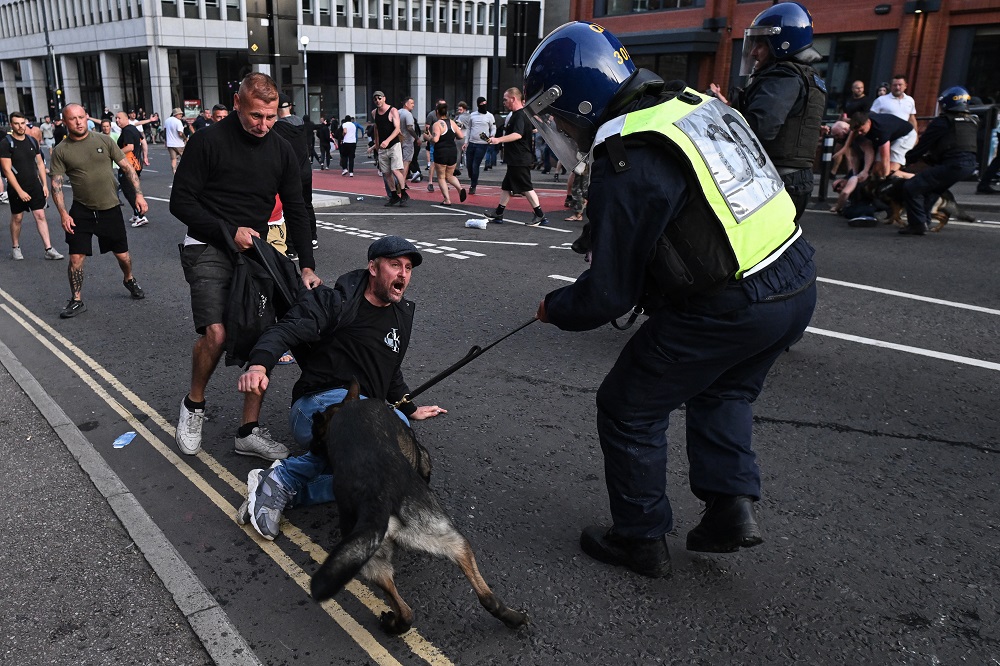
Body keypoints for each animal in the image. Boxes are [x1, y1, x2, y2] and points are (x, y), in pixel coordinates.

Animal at [306, 378, 528, 632]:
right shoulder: (419, 453)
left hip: (376, 559)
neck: (345, 408)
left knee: (412, 612)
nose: (309, 447)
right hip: (440, 538)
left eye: (315, 433)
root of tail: (378, 496)